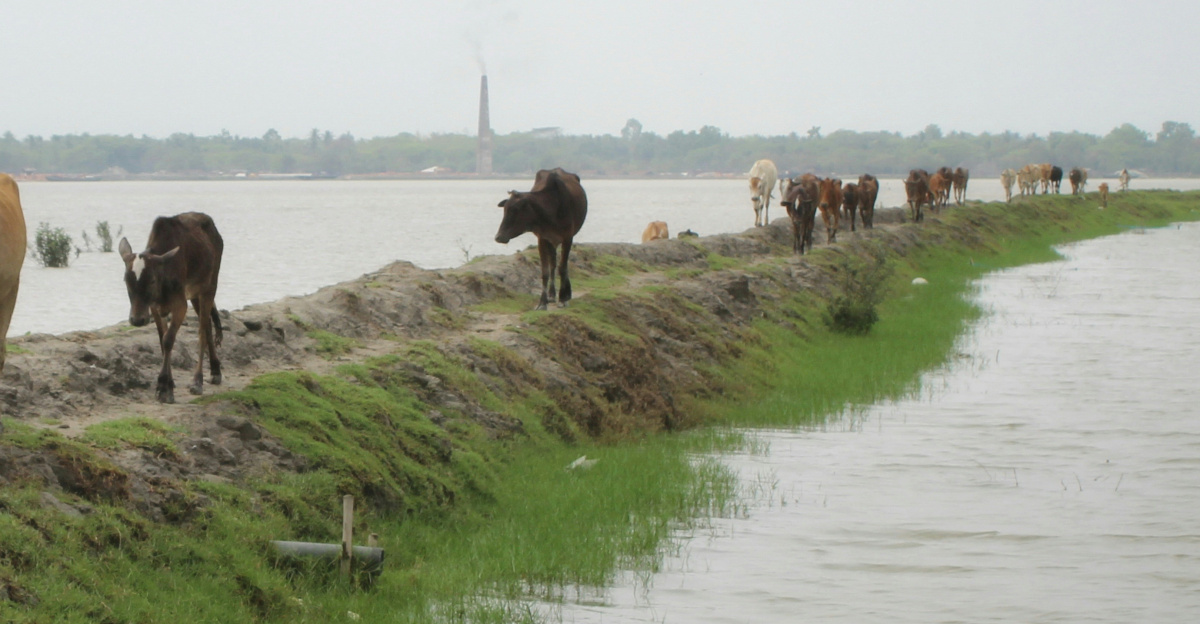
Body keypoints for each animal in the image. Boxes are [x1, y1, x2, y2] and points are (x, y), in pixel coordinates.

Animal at [118, 212, 224, 403]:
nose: (137, 320)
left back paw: (198, 381)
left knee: (202, 332)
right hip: (195, 295)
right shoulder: (154, 308)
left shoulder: (180, 305)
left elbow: (168, 340)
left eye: (152, 280)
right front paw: (169, 383)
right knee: (208, 327)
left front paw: (163, 387)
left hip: (209, 288)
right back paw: (215, 370)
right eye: (126, 280)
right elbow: (162, 341)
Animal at [495, 168, 588, 310]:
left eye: (515, 210)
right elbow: (545, 271)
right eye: (504, 209)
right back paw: (551, 294)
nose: (498, 237)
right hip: (551, 242)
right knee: (553, 264)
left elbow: (563, 267)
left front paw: (563, 298)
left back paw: (565, 294)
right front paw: (542, 302)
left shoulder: (568, 237)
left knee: (561, 265)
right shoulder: (542, 239)